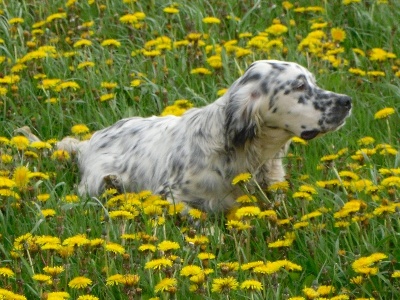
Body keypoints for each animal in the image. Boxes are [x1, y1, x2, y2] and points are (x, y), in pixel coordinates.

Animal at [57, 60, 354, 211]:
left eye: (312, 81)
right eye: (300, 85)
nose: (347, 101)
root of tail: (90, 142)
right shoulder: (170, 196)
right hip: (97, 185)